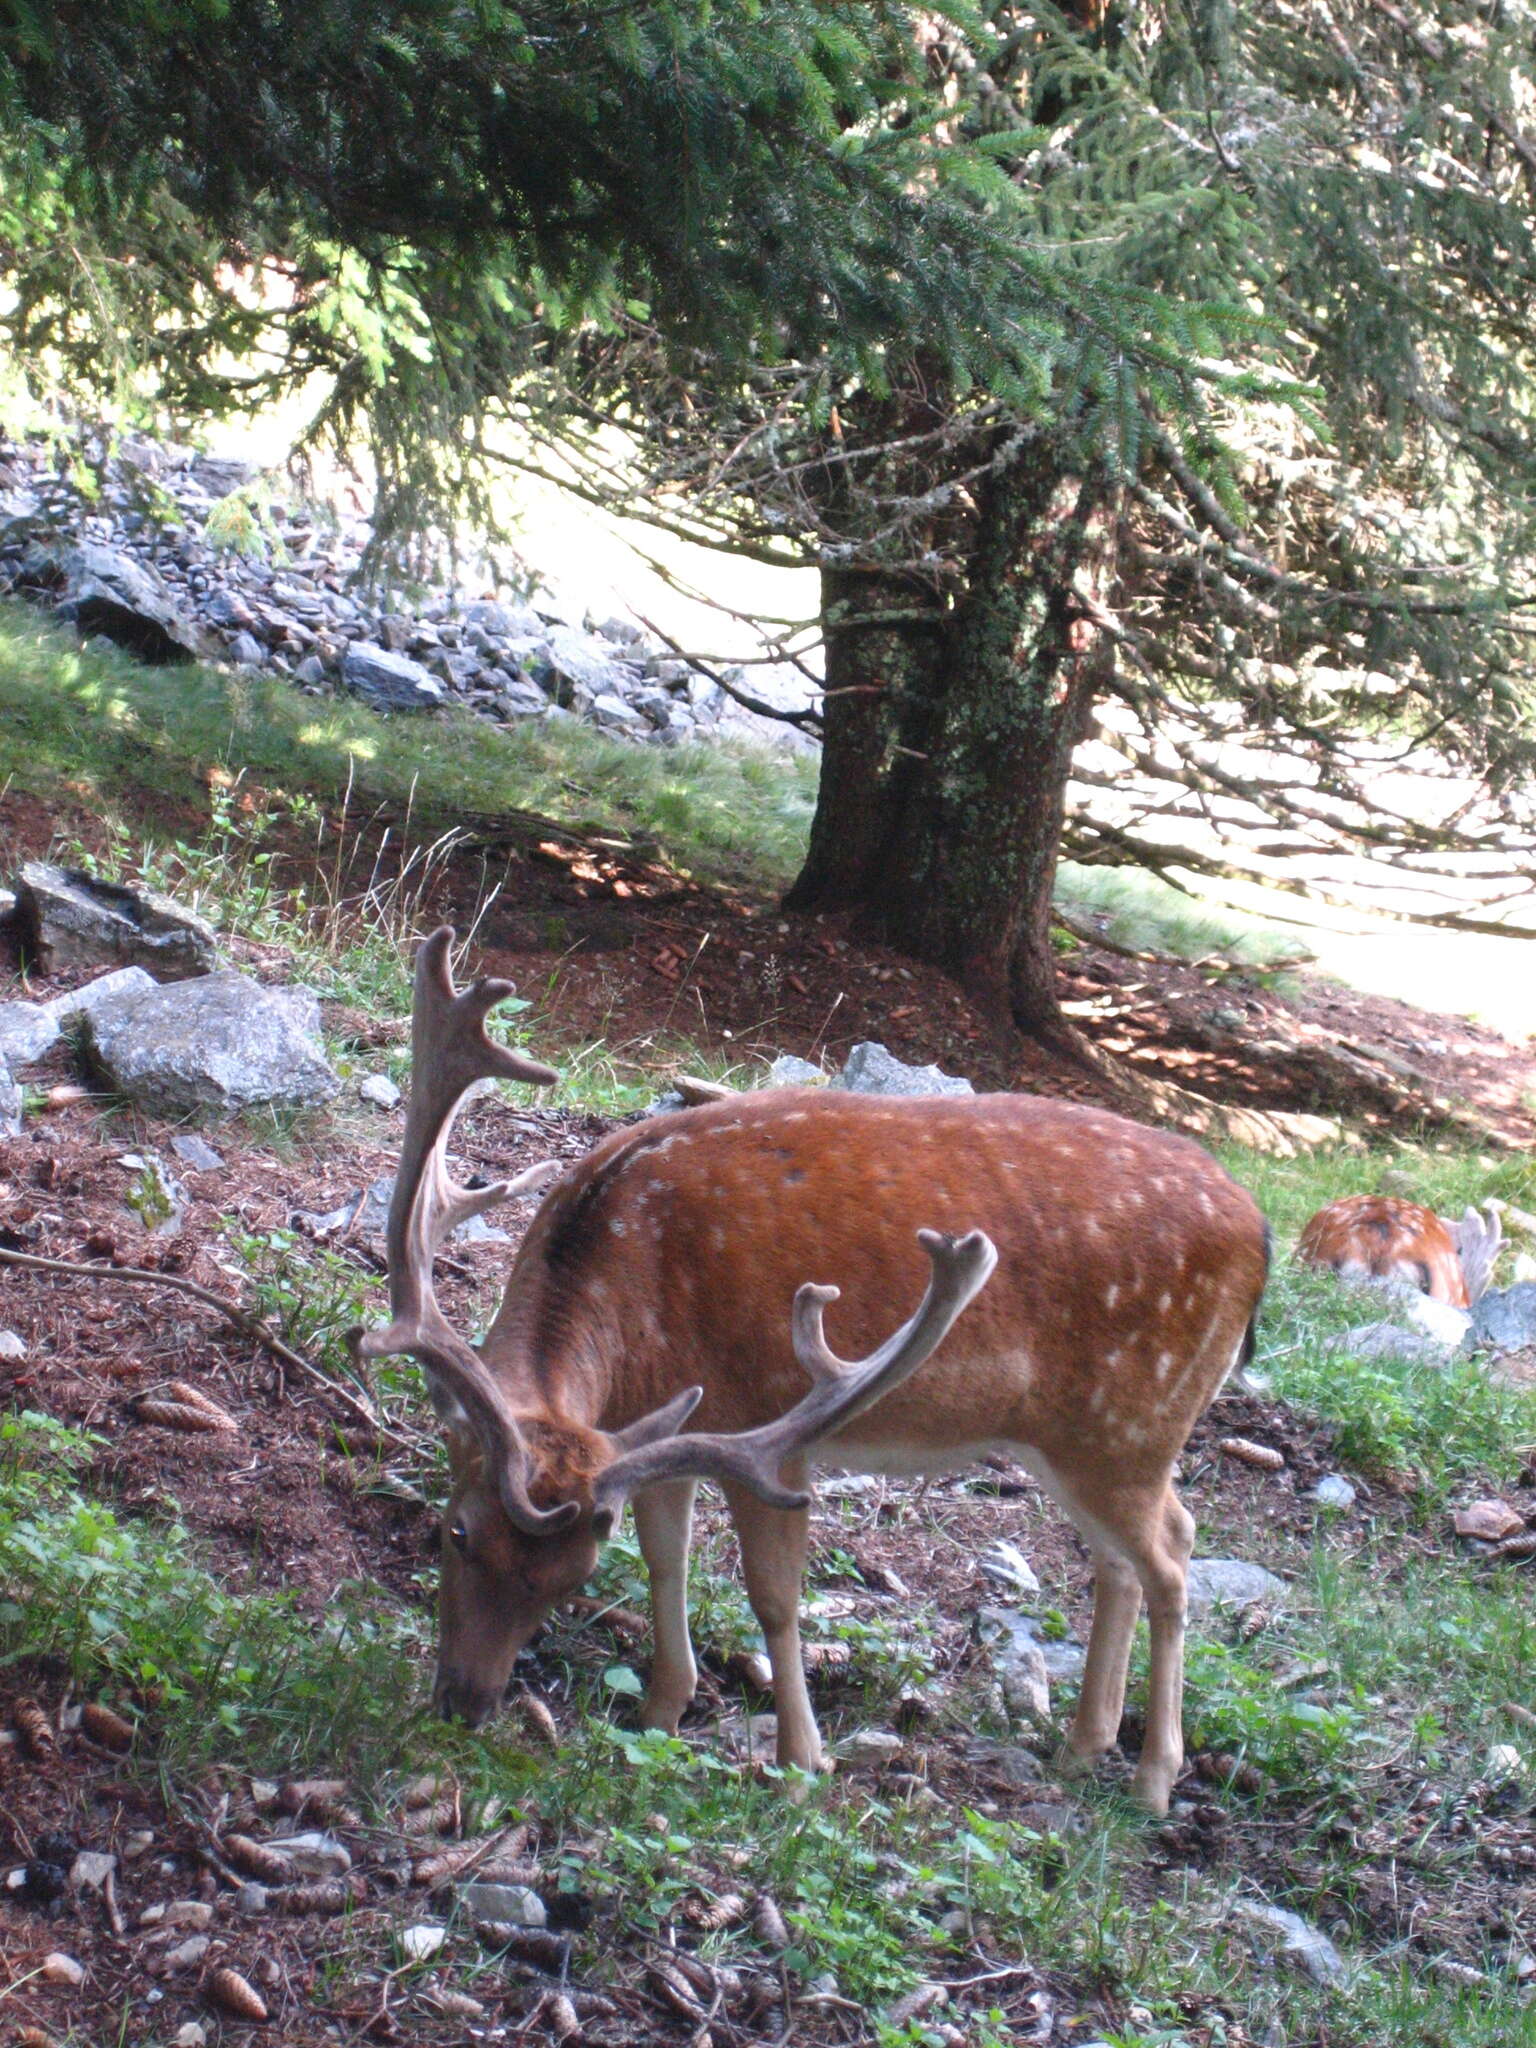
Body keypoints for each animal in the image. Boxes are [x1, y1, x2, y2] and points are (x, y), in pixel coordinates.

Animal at [358, 929, 1277, 1810]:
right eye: (456, 1531)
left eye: (570, 1578)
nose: (464, 1704)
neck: (632, 1303)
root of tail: (1260, 1236)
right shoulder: (652, 1432)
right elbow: (666, 1560)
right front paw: (661, 1709)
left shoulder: (766, 1424)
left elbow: (772, 1595)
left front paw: (803, 1760)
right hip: (1072, 1437)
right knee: (1120, 1560)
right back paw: (1084, 1746)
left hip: (1136, 1420)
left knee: (1173, 1551)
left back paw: (1154, 1779)